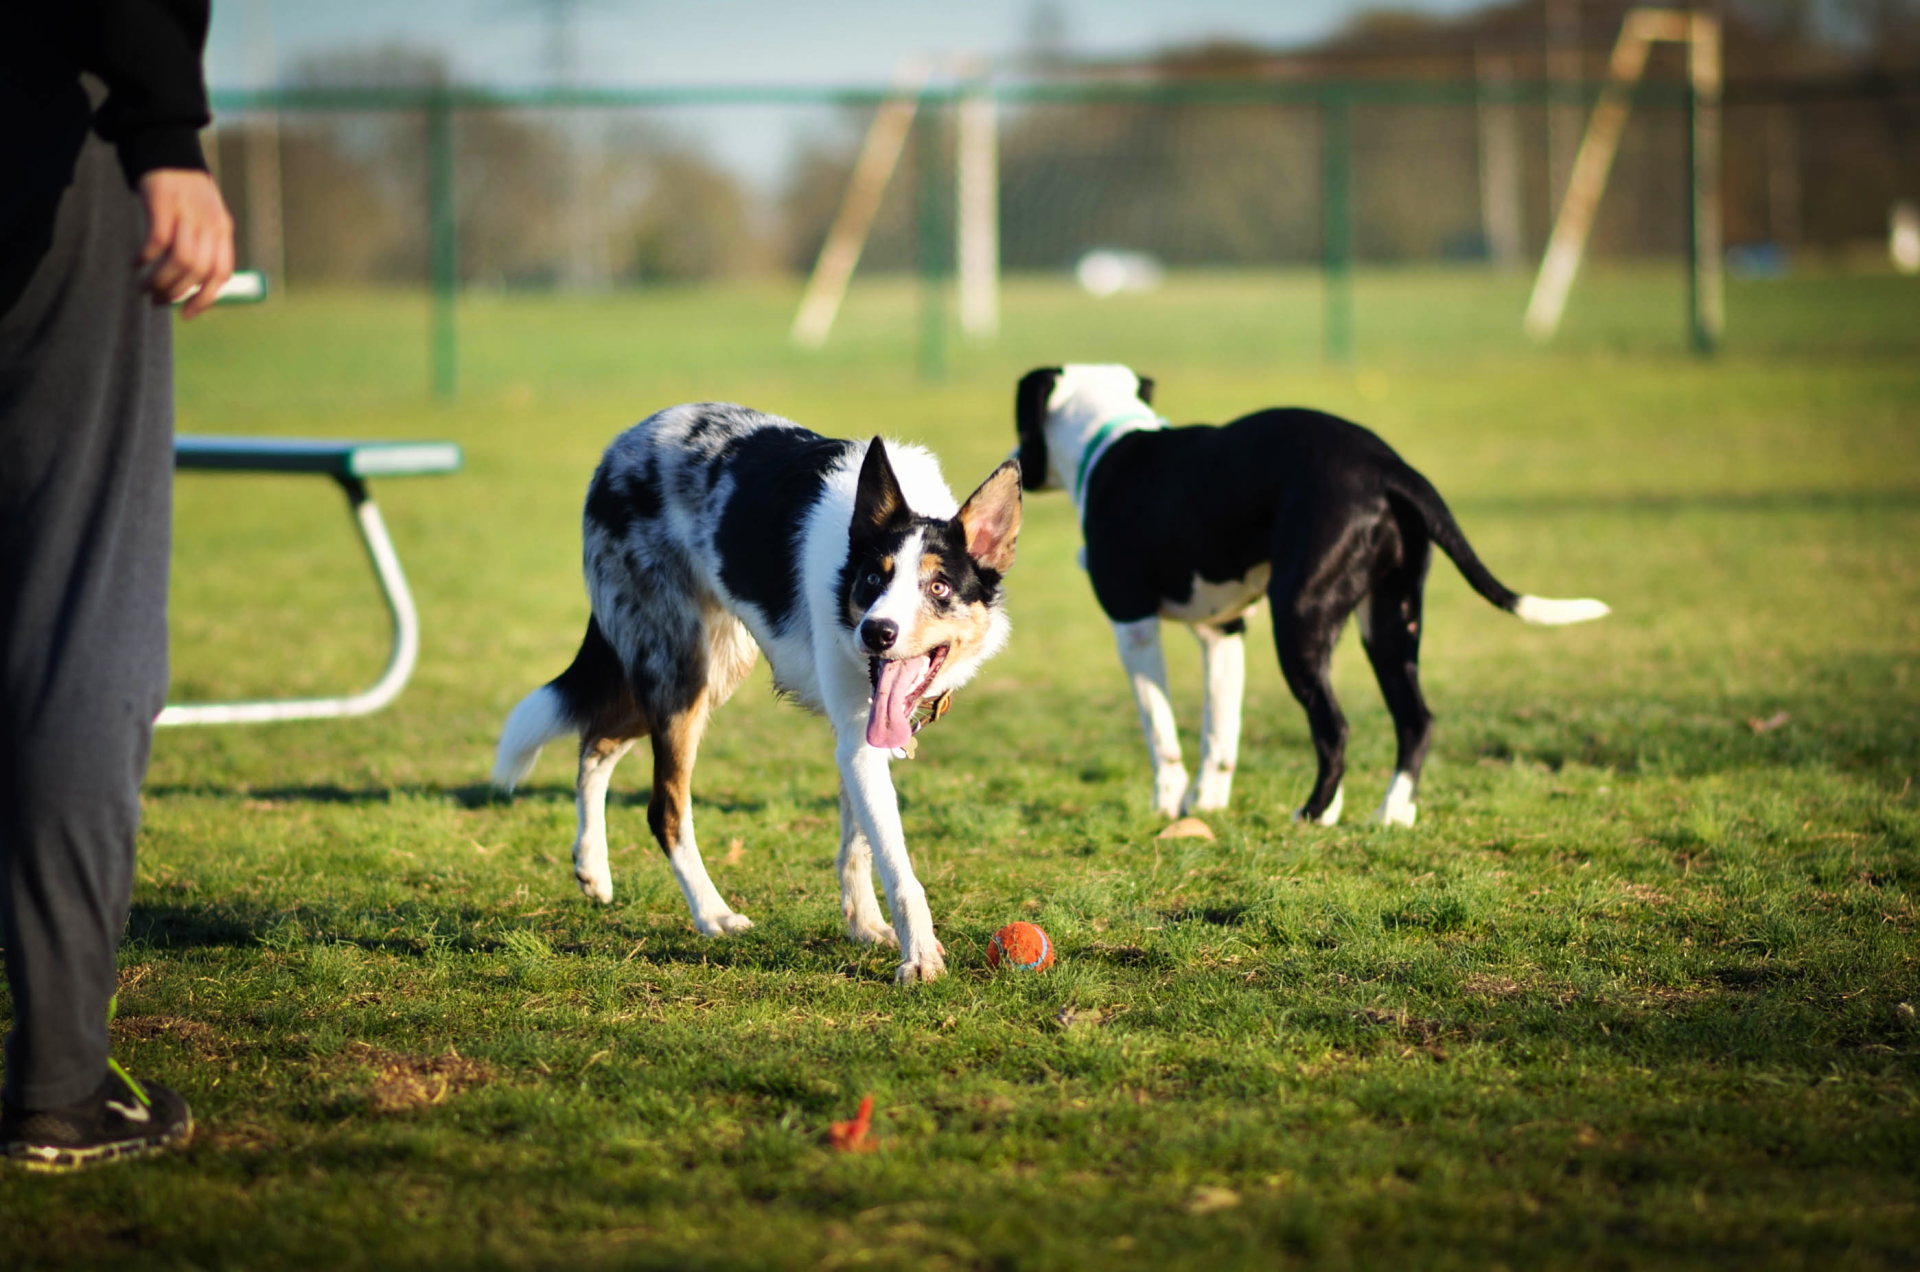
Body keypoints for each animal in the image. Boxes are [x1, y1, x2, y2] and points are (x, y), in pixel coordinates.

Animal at [499, 409, 1021, 983]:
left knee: (597, 743)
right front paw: (920, 956)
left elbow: (858, 844)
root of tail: (622, 445)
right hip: (681, 672)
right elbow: (896, 865)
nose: (876, 632)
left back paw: (592, 866)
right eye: (871, 579)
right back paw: (712, 914)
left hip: (710, 666)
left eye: (939, 588)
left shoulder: (863, 737)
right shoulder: (859, 740)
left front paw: (863, 925)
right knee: (664, 807)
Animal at [1013, 363, 1612, 833]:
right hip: (1391, 622)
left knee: (1334, 727)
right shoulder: (1223, 632)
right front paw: (1207, 806)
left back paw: (1314, 813)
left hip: (1299, 620)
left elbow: (1161, 732)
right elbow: (1219, 735)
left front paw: (1167, 804)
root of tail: (1388, 468)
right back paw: (1390, 814)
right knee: (1414, 720)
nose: (1014, 460)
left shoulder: (1133, 627)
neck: (1112, 442)